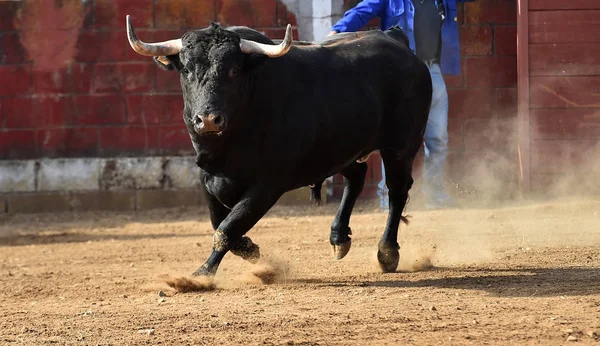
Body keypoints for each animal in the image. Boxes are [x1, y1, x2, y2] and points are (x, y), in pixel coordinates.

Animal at [126, 16, 432, 278]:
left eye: (234, 70)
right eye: (187, 70)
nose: (209, 119)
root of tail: (396, 40)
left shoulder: (268, 185)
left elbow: (227, 227)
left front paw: (202, 274)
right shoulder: (207, 176)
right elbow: (219, 222)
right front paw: (249, 249)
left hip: (401, 148)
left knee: (396, 192)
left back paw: (387, 253)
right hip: (339, 148)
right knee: (356, 178)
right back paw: (339, 237)